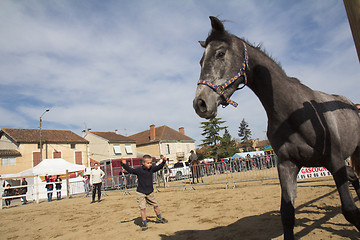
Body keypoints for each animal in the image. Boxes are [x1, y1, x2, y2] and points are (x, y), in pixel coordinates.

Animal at [193, 15, 360, 239]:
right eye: (201, 61)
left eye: (220, 53)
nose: (200, 103)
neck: (293, 112)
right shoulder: (287, 164)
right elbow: (287, 214)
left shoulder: (334, 160)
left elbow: (350, 210)